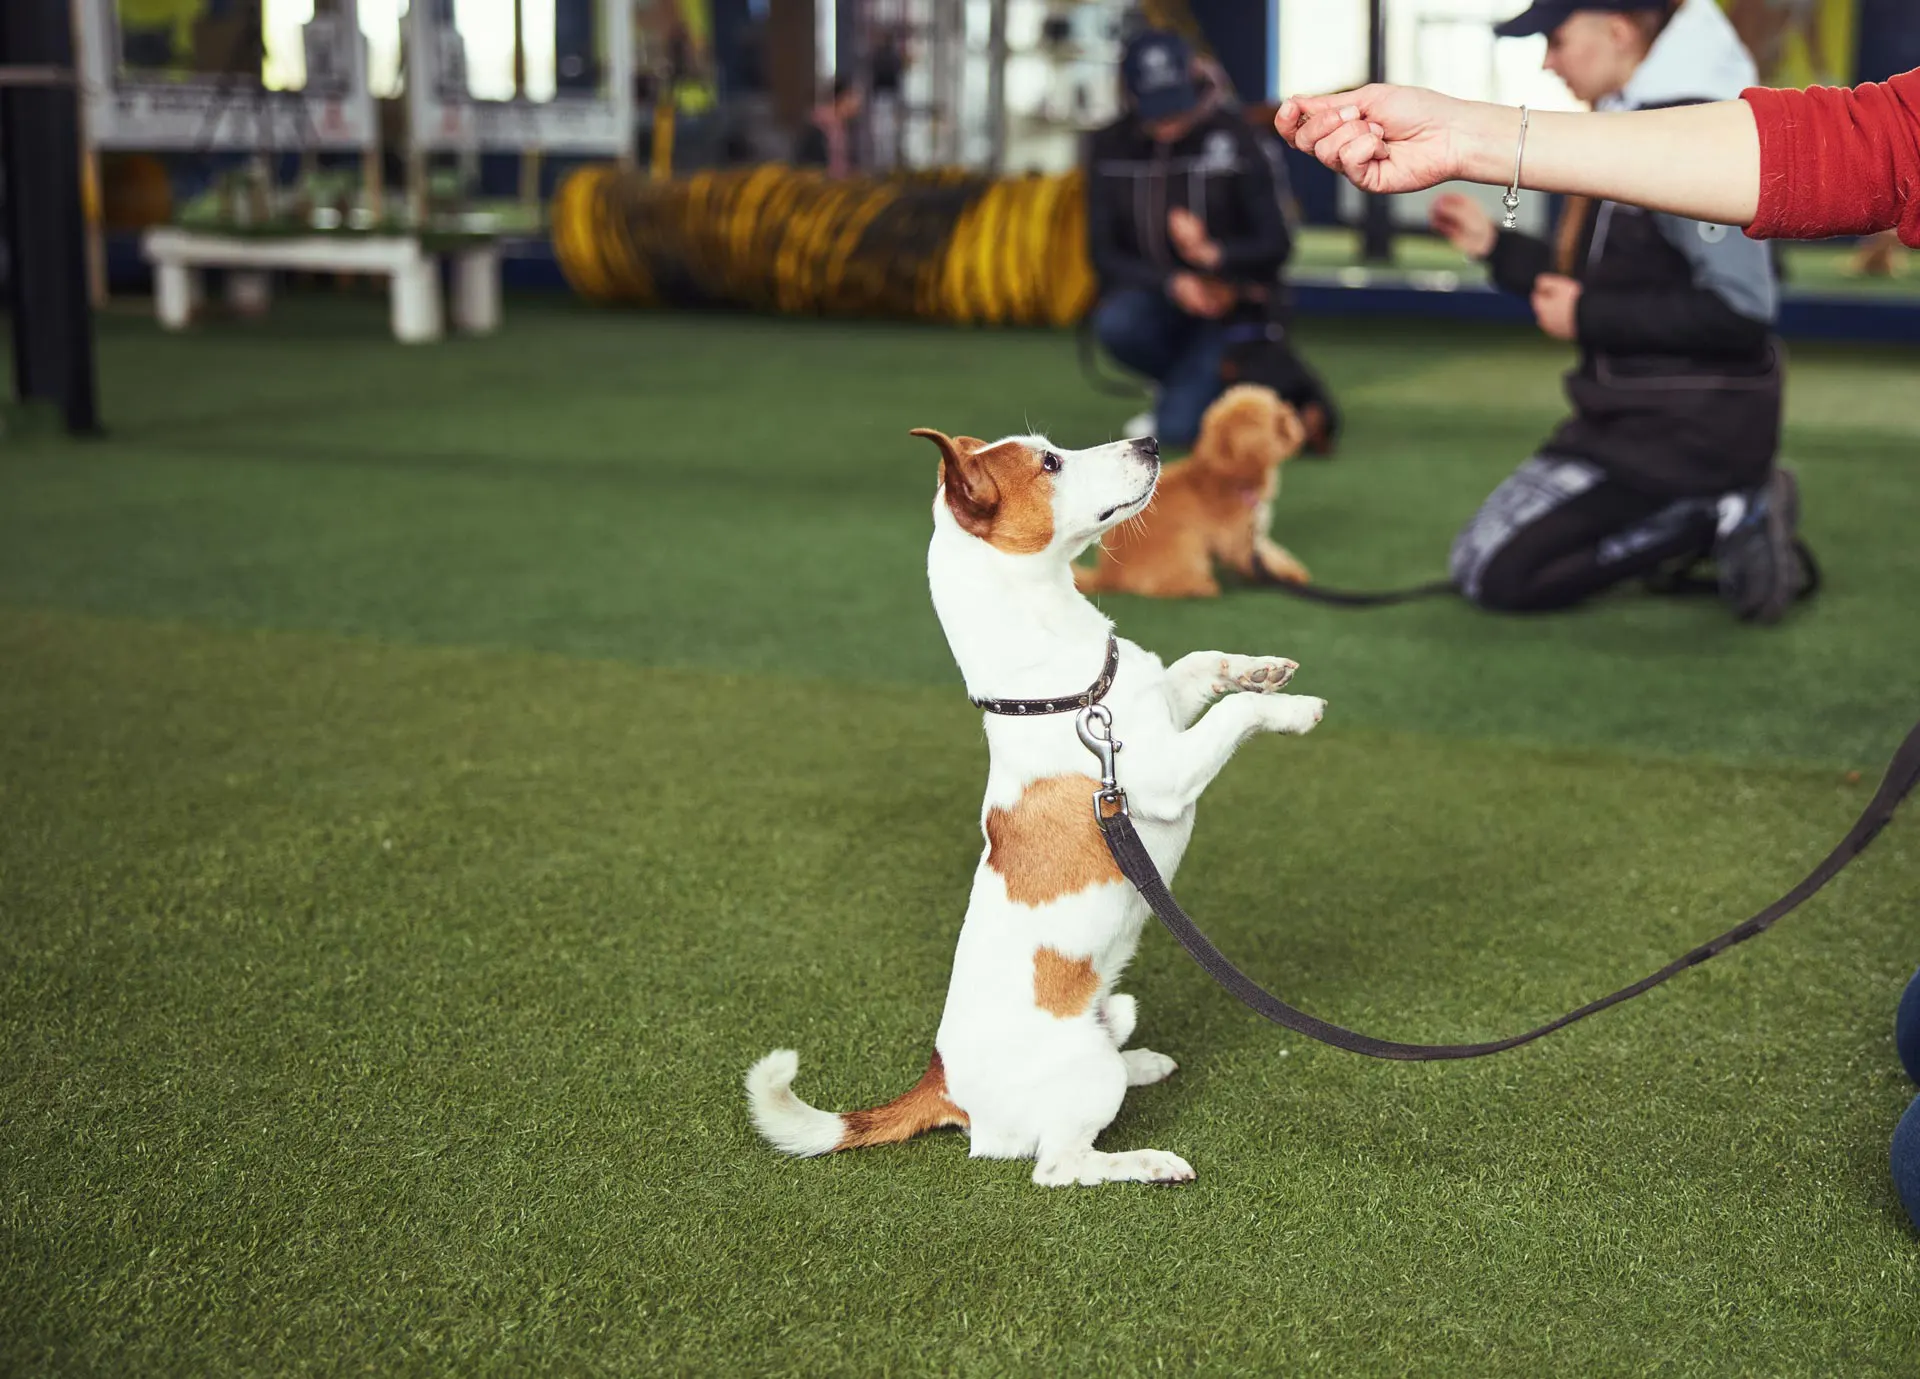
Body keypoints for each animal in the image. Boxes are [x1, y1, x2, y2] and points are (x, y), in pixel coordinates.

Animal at [741, 432, 1328, 1190]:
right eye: (1050, 463)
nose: (1149, 441)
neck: (1067, 687)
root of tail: (944, 1085)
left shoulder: (1162, 705)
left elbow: (1200, 664)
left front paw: (1260, 669)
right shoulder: (1169, 775)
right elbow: (1236, 713)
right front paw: (1293, 709)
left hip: (1116, 1008)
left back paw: (1144, 1062)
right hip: (1083, 1081)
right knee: (1057, 1165)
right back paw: (1147, 1161)